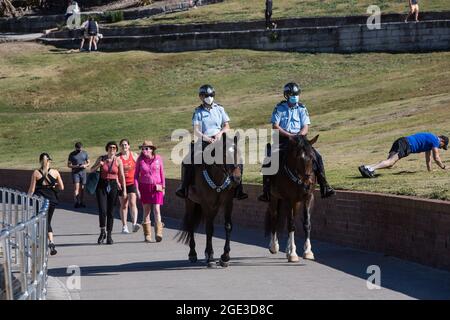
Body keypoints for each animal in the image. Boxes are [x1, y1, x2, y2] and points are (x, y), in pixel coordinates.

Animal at [177, 133, 243, 268]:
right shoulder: (206, 204)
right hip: (190, 202)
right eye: (224, 155)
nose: (236, 178)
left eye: (238, 154)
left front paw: (225, 257)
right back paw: (193, 254)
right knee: (191, 224)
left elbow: (228, 226)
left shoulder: (228, 203)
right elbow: (209, 229)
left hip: (215, 206)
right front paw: (210, 256)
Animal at [266, 134, 318, 262]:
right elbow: (291, 225)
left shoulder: (308, 198)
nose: (307, 183)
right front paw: (293, 253)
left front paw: (308, 251)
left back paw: (287, 250)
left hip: (296, 203)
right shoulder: (289, 199)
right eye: (297, 158)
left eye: (312, 157)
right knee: (274, 218)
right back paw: (274, 246)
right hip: (274, 199)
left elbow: (307, 223)